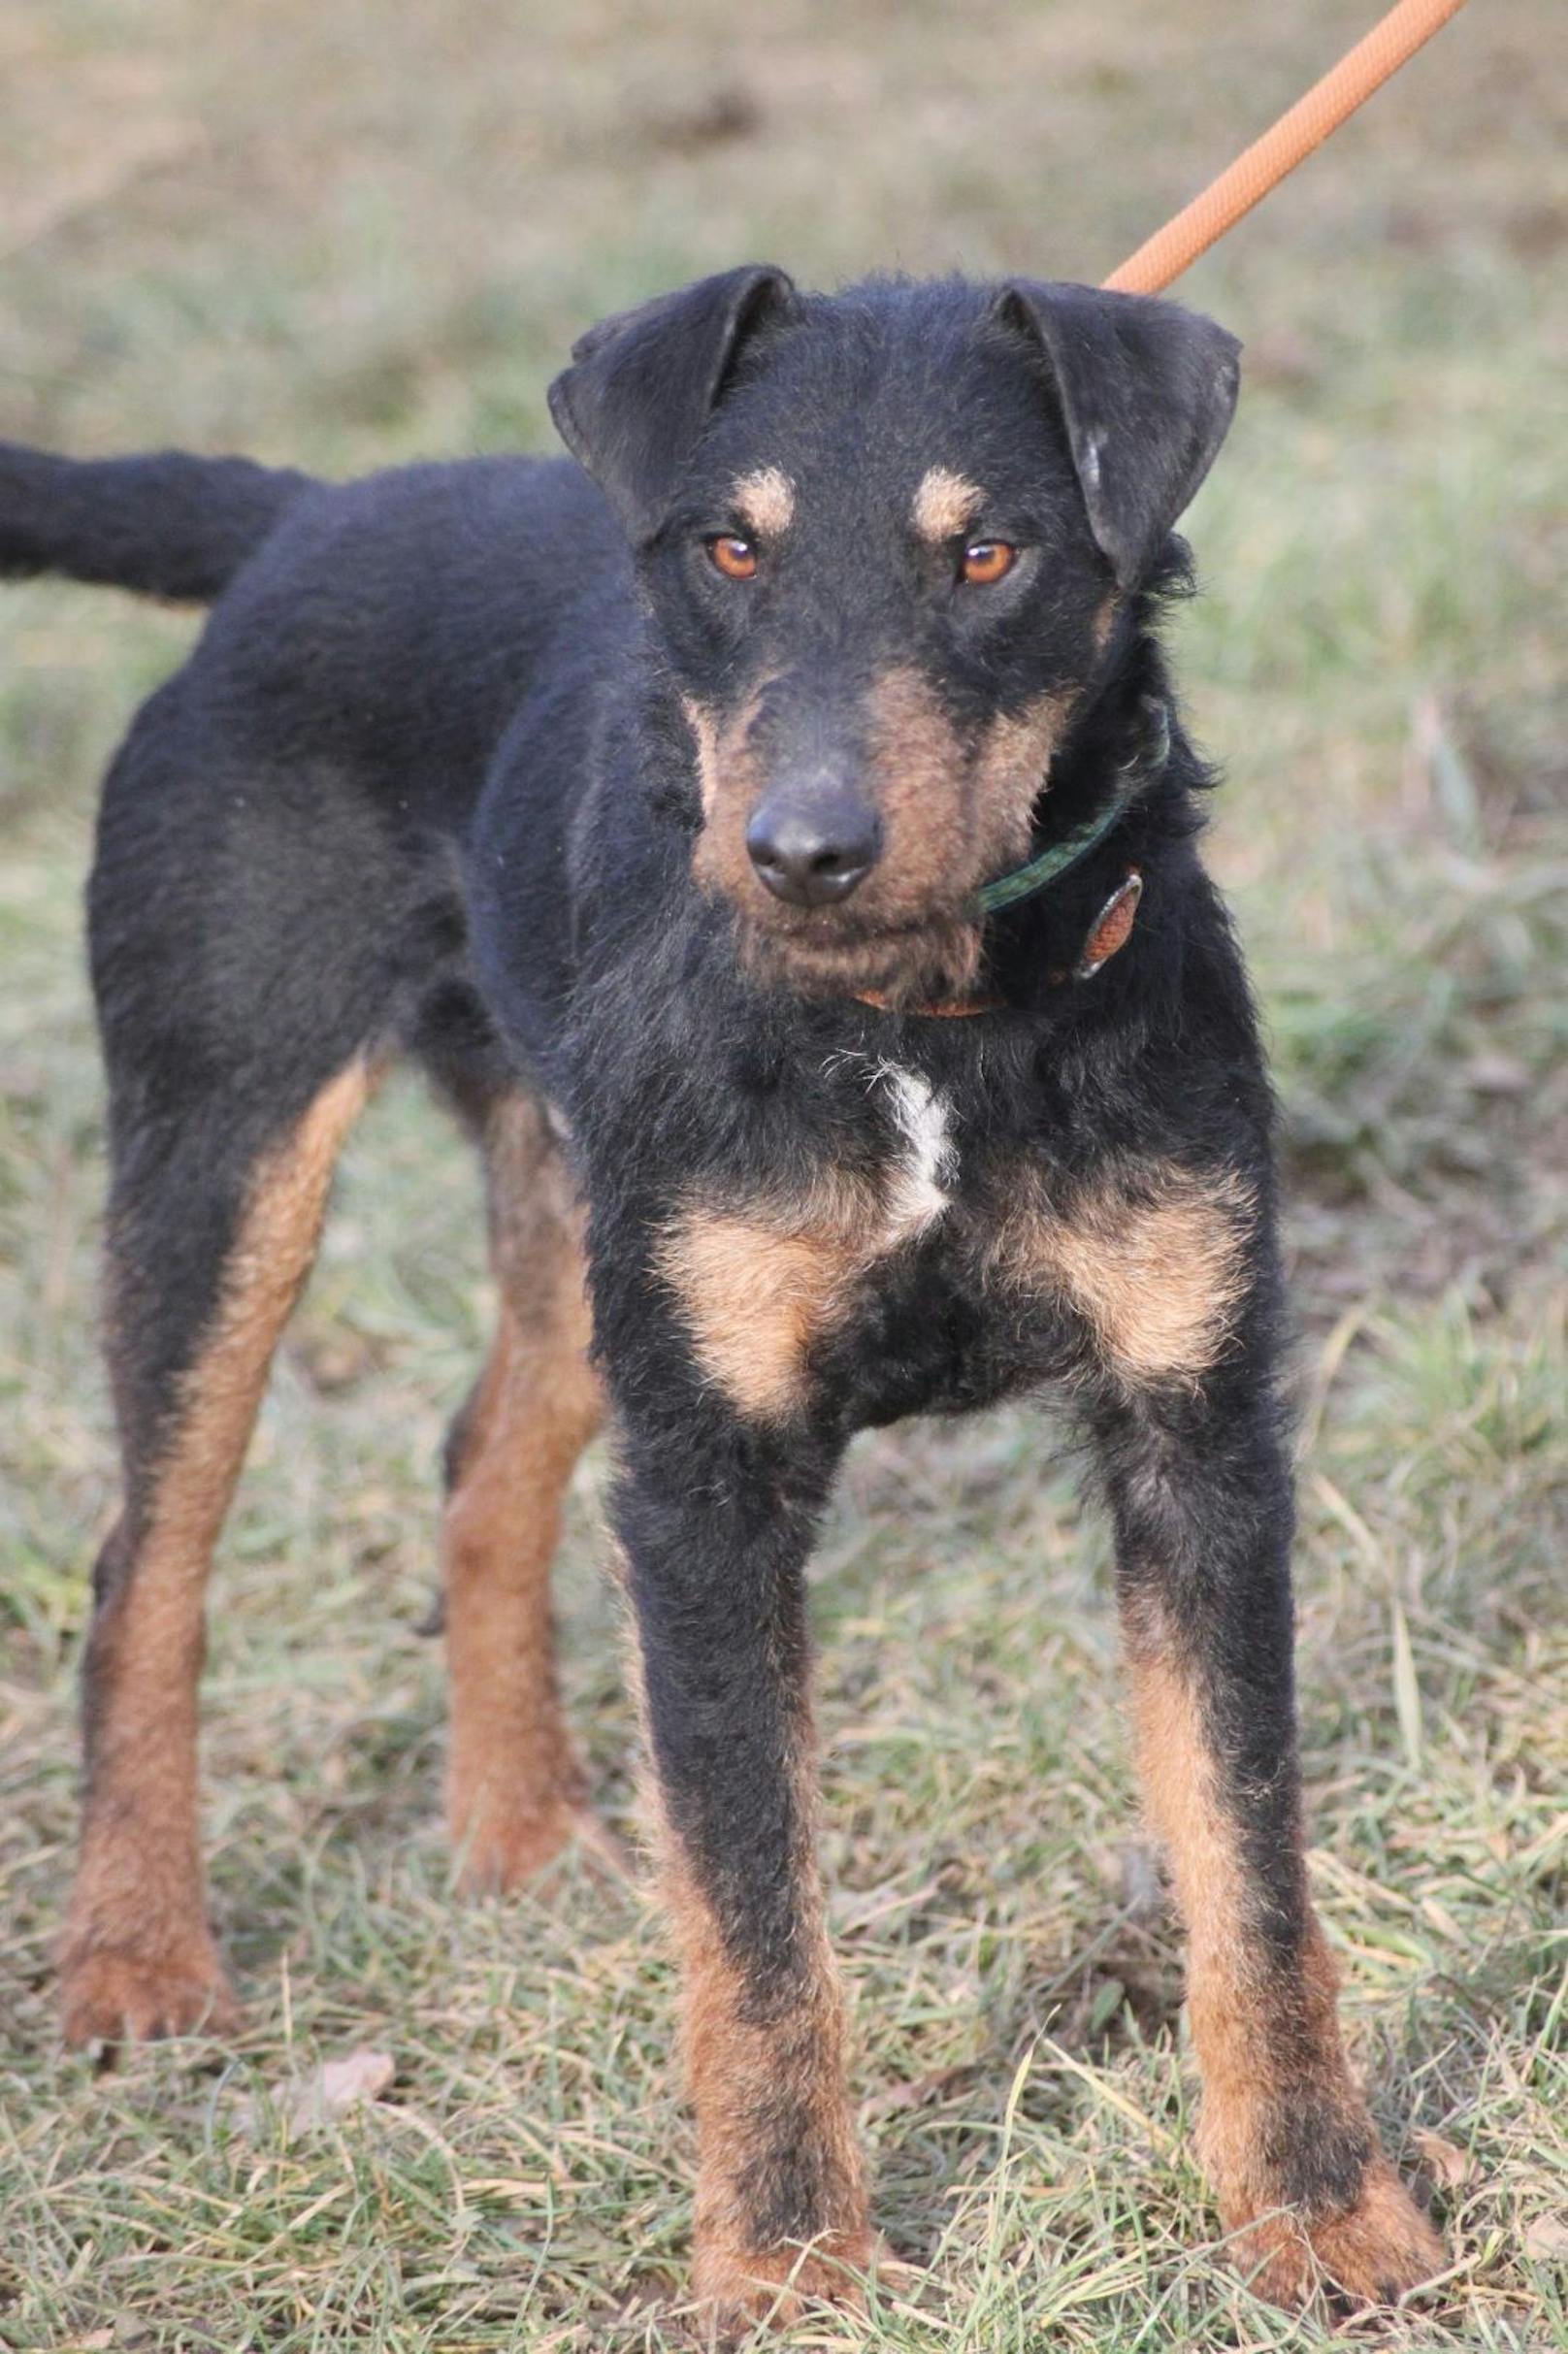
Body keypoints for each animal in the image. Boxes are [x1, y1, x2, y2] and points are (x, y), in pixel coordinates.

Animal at [0, 267, 1440, 2325]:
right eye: (729, 548)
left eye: (989, 553)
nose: (802, 854)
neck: (923, 1028)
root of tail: (297, 519)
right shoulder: (711, 1484)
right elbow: (758, 1914)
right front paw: (786, 2262)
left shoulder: (1198, 1440)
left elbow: (1247, 1863)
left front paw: (1321, 2213)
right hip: (230, 1157)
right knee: (149, 1565)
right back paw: (136, 1959)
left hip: (573, 1212)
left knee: (477, 1468)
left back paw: (522, 1833)